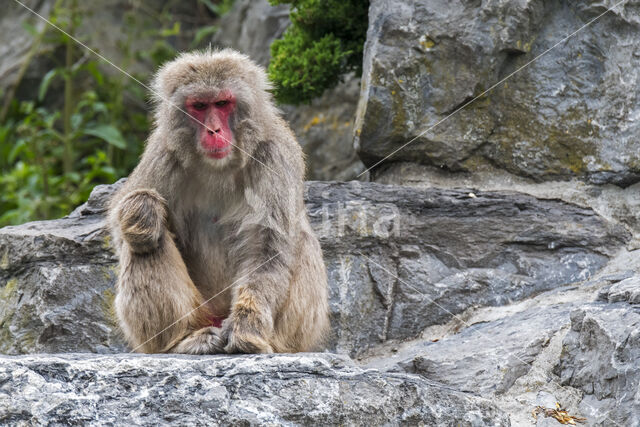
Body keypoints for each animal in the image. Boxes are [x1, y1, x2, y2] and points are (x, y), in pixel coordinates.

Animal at [107, 49, 328, 354]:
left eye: (222, 103)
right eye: (200, 106)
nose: (212, 130)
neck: (220, 166)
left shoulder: (274, 155)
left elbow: (267, 246)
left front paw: (247, 328)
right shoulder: (164, 153)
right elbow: (122, 231)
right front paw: (141, 210)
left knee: (300, 242)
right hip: (199, 311)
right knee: (144, 243)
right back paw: (183, 338)